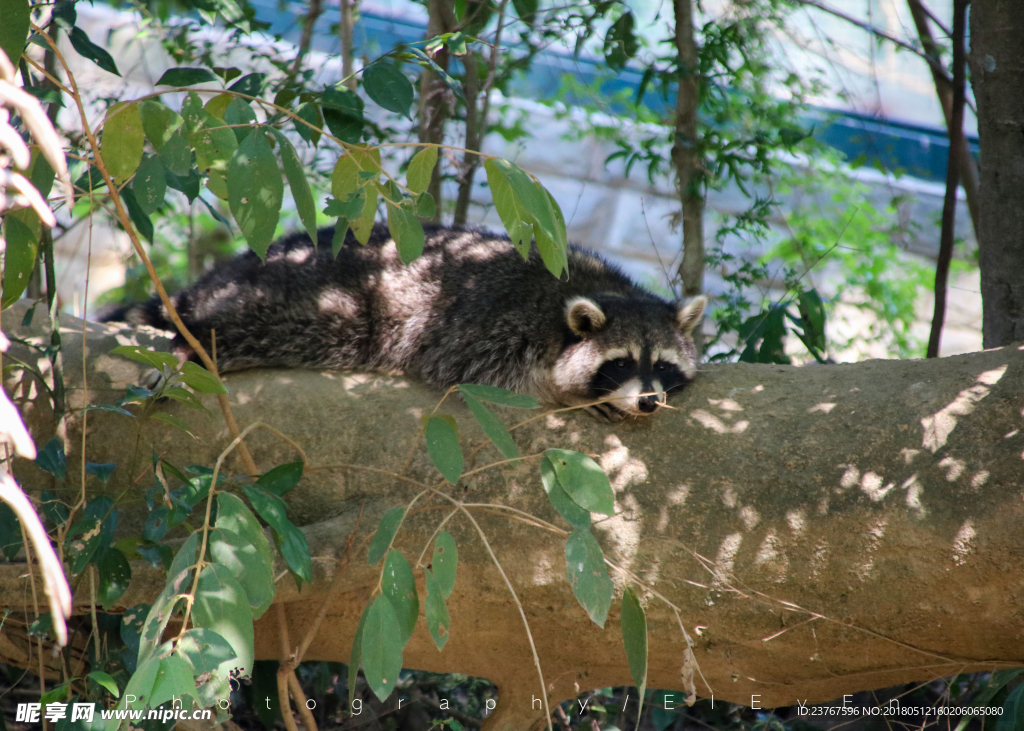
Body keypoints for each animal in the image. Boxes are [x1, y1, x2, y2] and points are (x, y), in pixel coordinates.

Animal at [108, 222, 708, 417]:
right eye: (621, 362)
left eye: (663, 366)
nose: (649, 400)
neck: (598, 289)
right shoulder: (493, 327)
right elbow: (488, 376)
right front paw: (574, 397)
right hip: (320, 299)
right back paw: (193, 344)